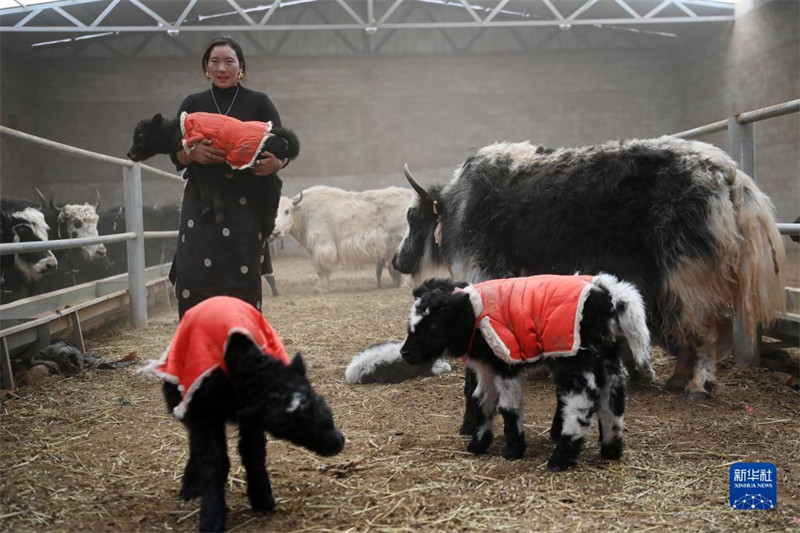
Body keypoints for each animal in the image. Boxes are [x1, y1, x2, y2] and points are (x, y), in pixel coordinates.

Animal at [142, 298, 342, 528]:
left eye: (316, 398)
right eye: (285, 425)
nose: (337, 442)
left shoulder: (253, 419)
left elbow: (253, 453)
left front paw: (262, 498)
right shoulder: (204, 414)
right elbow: (215, 462)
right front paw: (212, 516)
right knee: (195, 445)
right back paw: (190, 486)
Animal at [404, 274, 652, 470]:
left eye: (433, 326)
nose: (405, 353)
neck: (474, 316)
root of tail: (604, 296)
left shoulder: (507, 362)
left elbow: (509, 408)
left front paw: (513, 450)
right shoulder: (487, 368)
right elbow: (482, 402)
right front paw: (478, 445)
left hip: (572, 354)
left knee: (581, 402)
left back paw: (561, 459)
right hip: (606, 353)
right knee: (614, 396)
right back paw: (612, 448)